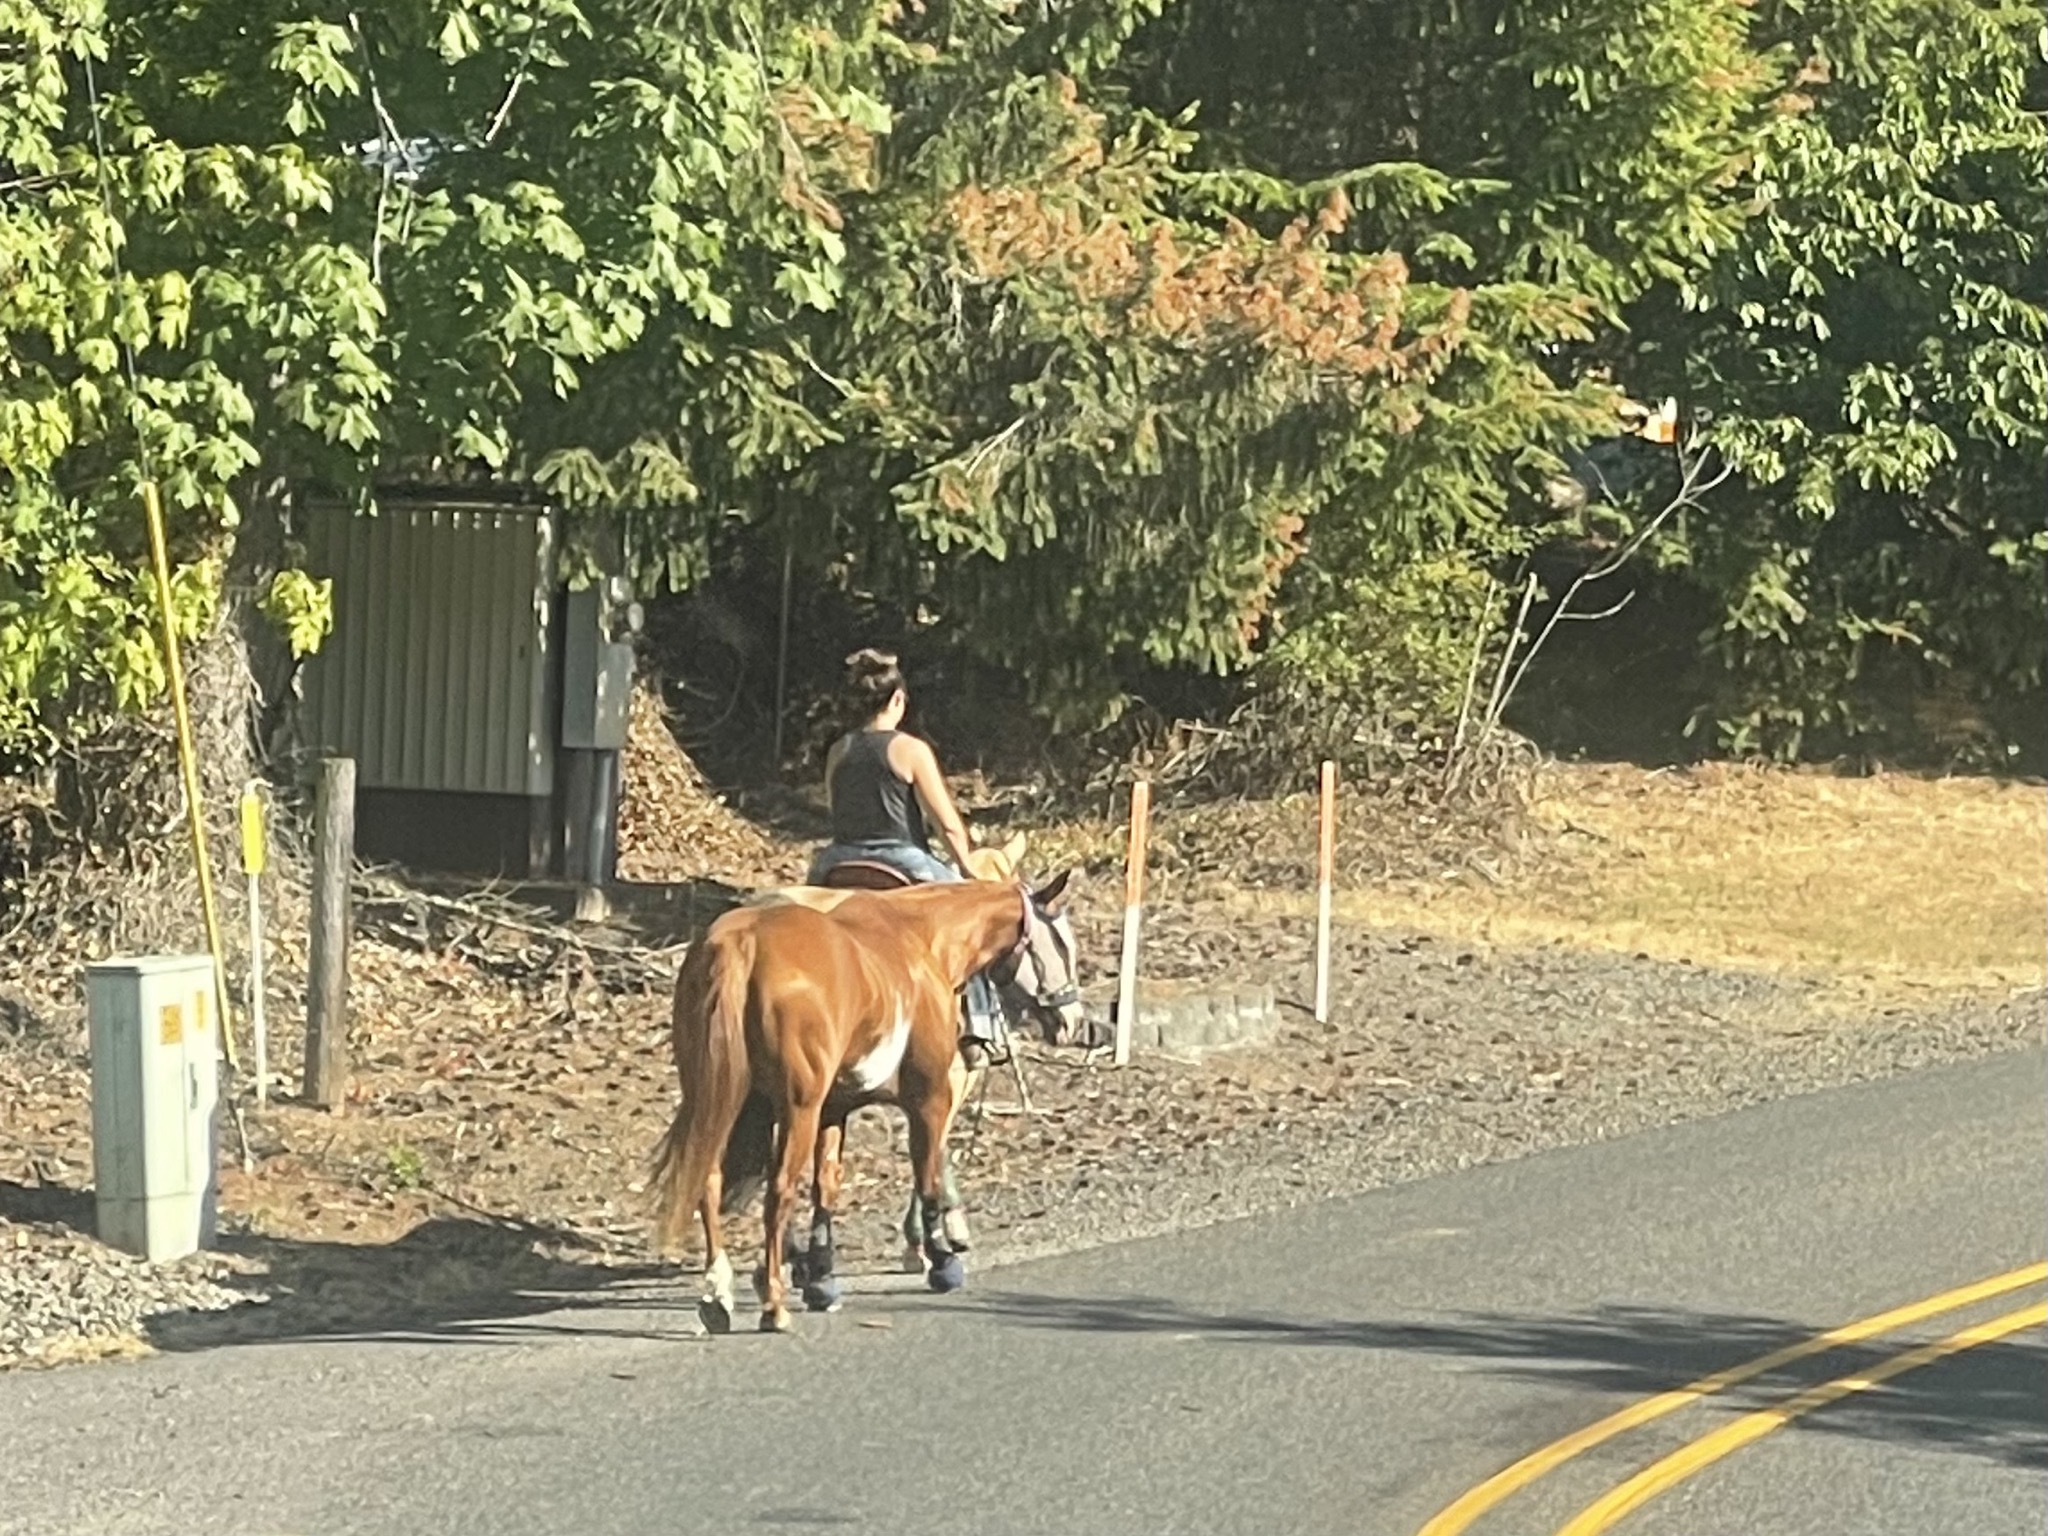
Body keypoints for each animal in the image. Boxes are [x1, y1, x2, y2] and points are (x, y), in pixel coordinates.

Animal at [650, 872, 1096, 1333]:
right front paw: (941, 1260)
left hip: (725, 1101)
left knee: (708, 1180)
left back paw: (718, 1293)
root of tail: (743, 944)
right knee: (778, 1193)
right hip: (795, 1109)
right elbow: (928, 1177)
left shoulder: (833, 1111)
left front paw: (822, 1278)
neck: (922, 937)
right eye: (1063, 944)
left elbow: (826, 1187)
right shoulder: (930, 1099)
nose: (1074, 1022)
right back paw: (773, 1303)